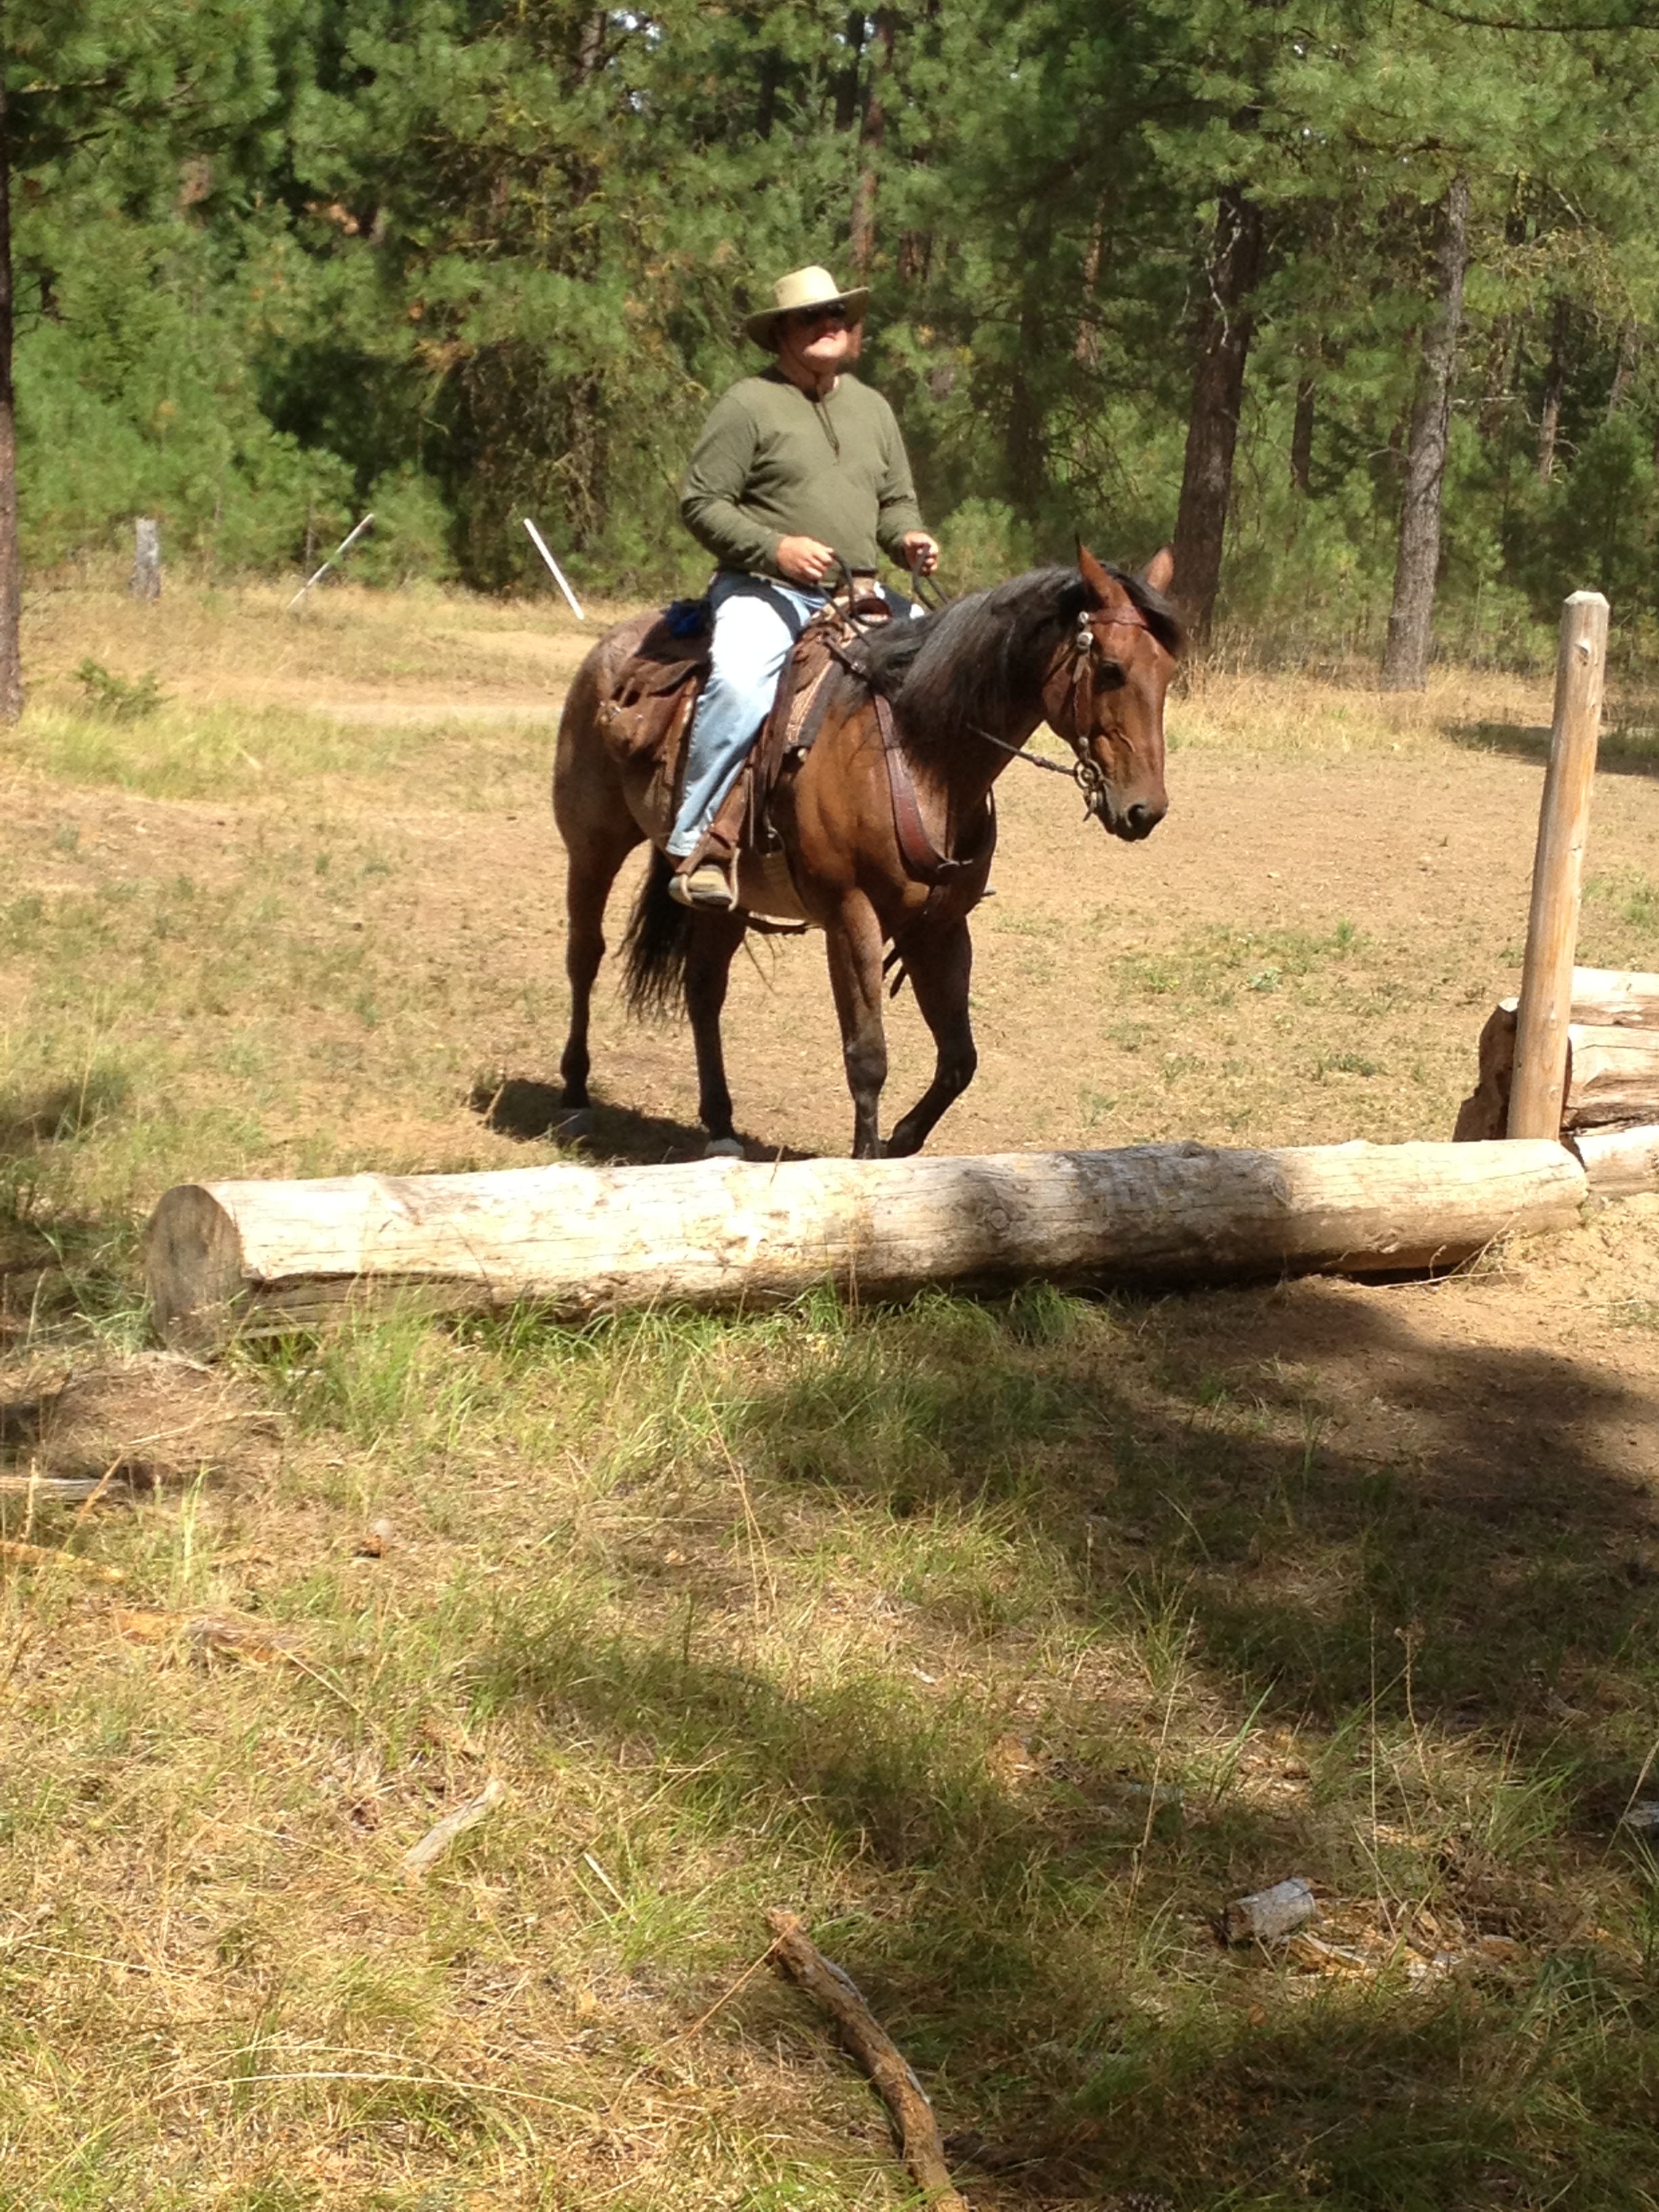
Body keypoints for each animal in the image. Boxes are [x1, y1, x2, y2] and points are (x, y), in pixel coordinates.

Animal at [555, 548, 1185, 1159]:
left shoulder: (940, 927)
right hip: (591, 845)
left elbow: (959, 1060)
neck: (919, 754)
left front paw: (900, 1141)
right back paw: (575, 1095)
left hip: (724, 903)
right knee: (585, 956)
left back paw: (720, 1127)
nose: (1146, 810)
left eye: (1168, 672)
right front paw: (867, 1160)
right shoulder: (851, 915)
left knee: (705, 989)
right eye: (1111, 669)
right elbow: (868, 1056)